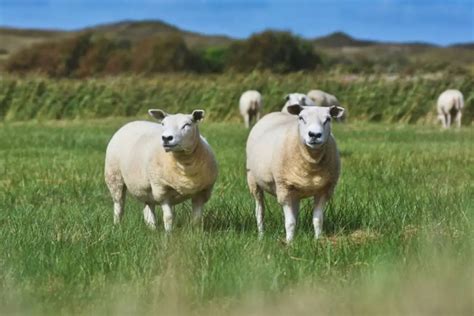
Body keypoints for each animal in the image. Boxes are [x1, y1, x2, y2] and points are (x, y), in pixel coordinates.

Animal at [244, 104, 344, 242]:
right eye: (301, 118)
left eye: (328, 119)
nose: (314, 134)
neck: (311, 164)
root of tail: (274, 113)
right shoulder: (284, 188)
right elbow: (290, 222)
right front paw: (289, 242)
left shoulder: (324, 190)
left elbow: (318, 220)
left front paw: (318, 240)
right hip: (253, 180)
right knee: (260, 210)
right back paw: (261, 234)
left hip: (296, 191)